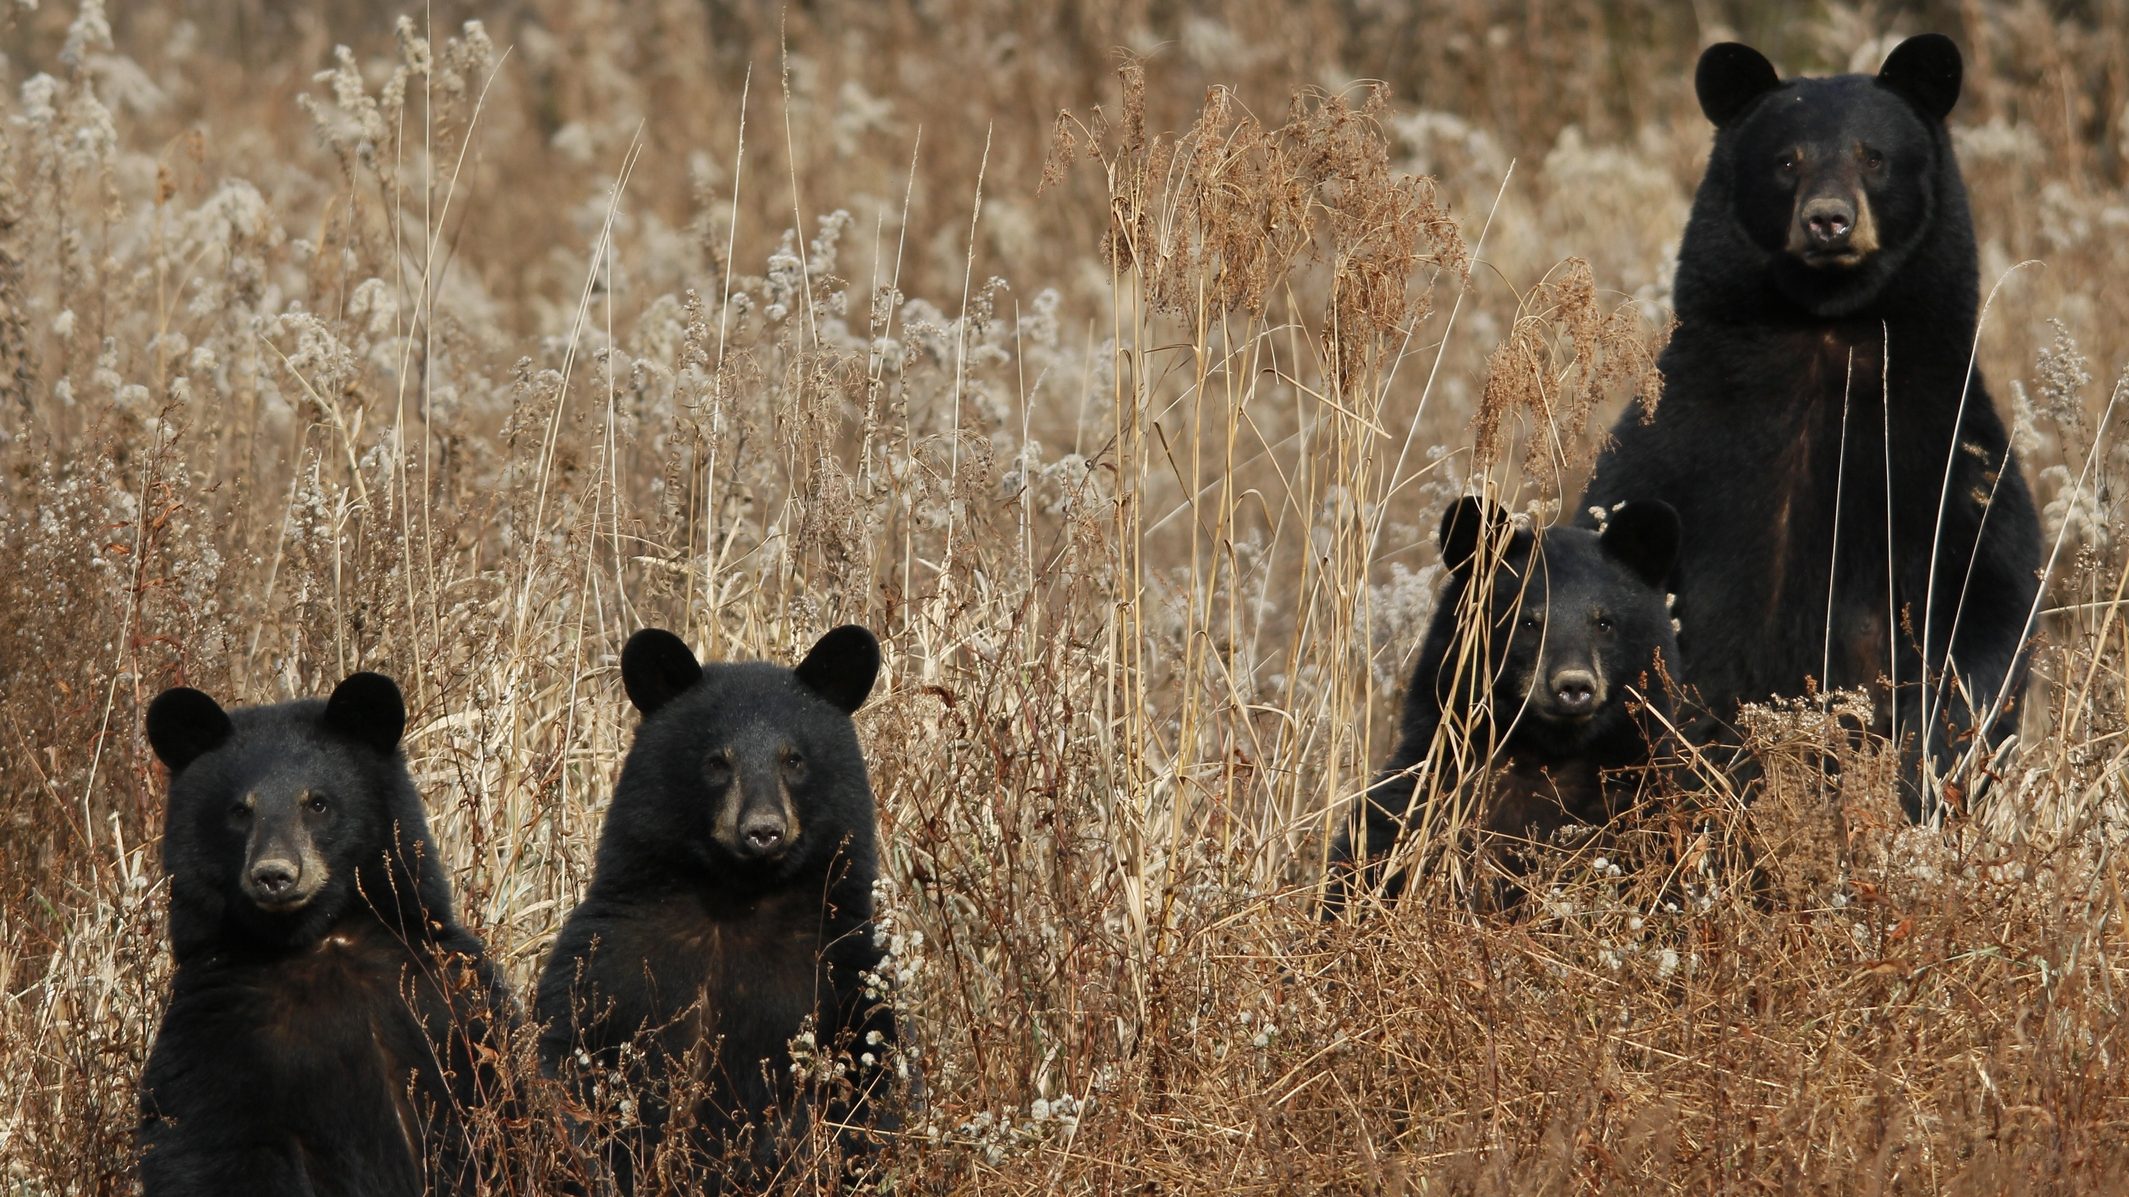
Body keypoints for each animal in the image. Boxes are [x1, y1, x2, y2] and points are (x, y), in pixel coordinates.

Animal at [138, 673, 515, 1192]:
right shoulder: (213, 1036)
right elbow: (207, 1150)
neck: (317, 942)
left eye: (317, 803)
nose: (274, 875)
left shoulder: (446, 1001)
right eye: (239, 810)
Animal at [536, 617, 902, 1184]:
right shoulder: (610, 954)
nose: (763, 831)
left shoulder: (845, 962)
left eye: (793, 759)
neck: (738, 897)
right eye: (716, 762)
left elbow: (869, 1077)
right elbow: (568, 1053)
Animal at [1328, 494, 1677, 903]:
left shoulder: (1637, 808)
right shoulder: (1421, 803)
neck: (1547, 754)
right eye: (1527, 623)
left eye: (1604, 623)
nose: (1574, 686)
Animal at [1583, 32, 2043, 813]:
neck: (1825, 335)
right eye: (1786, 159)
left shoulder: (1942, 452)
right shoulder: (1674, 445)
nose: (1828, 219)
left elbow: (1985, 600)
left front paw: (1923, 767)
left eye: (1873, 155)